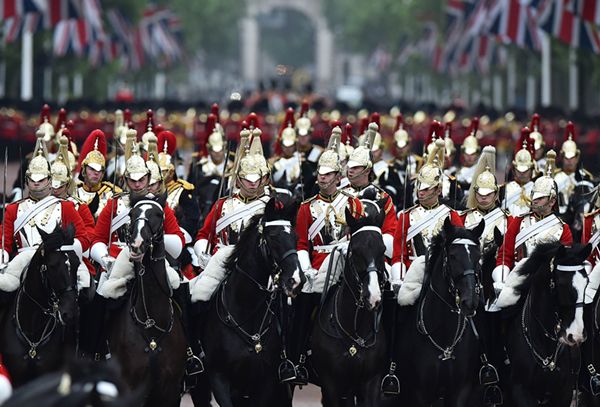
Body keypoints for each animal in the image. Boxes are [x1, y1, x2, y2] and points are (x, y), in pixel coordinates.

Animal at [200, 195, 305, 407]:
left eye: (296, 238)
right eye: (272, 237)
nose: (296, 280)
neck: (245, 310)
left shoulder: (266, 382)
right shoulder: (219, 377)